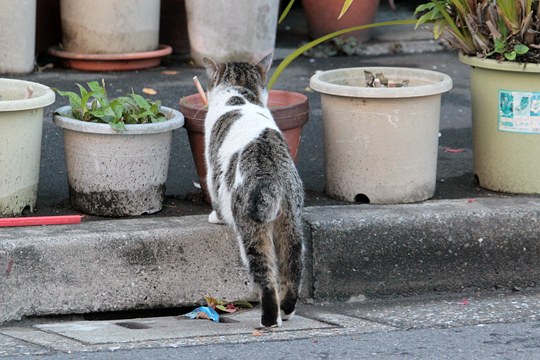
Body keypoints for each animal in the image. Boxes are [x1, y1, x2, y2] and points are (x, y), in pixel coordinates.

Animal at [202, 54, 304, 328]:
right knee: (293, 265)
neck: (241, 92)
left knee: (264, 274)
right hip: (291, 224)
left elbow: (214, 192)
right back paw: (287, 311)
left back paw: (270, 319)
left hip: (250, 227)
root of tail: (273, 175)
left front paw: (215, 217)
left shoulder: (212, 169)